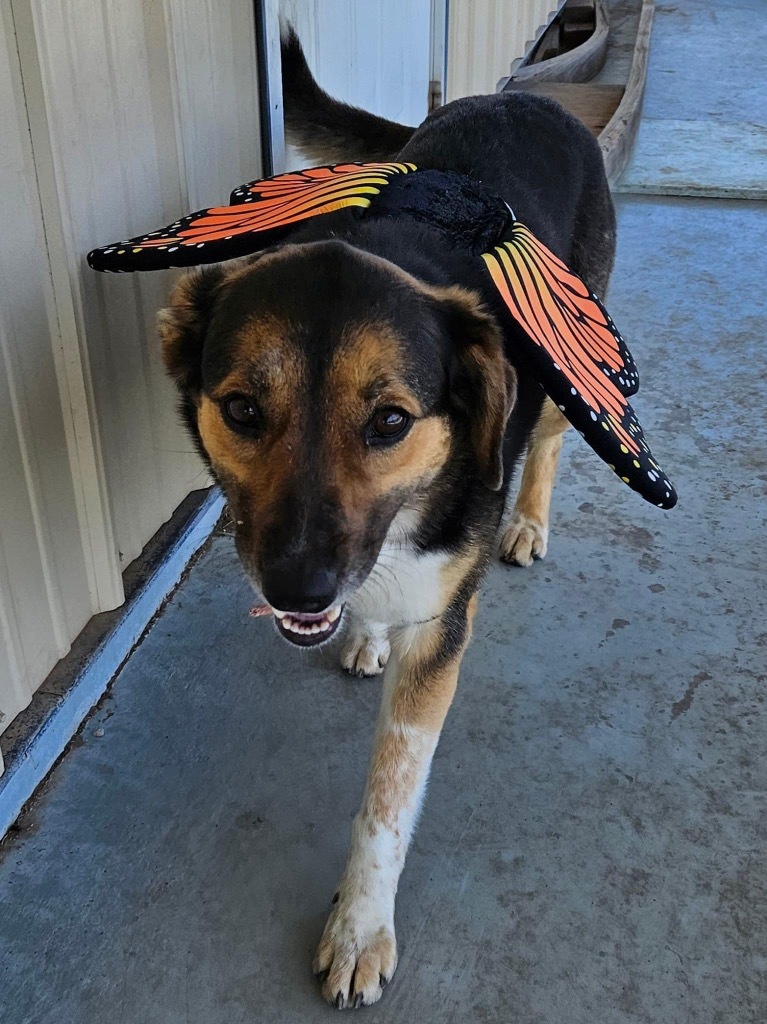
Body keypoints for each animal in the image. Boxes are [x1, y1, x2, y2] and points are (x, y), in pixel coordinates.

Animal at [153, 29, 614, 1007]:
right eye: (242, 410)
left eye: (391, 423)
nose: (297, 588)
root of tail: (524, 98)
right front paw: (361, 630)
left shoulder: (439, 632)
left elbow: (390, 798)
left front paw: (360, 927)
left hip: (567, 367)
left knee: (549, 442)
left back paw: (527, 523)